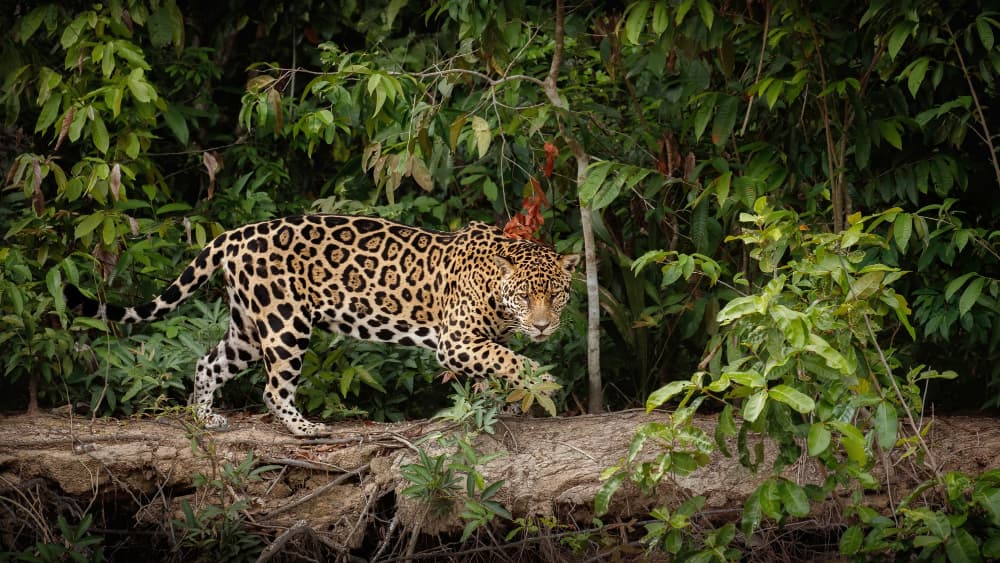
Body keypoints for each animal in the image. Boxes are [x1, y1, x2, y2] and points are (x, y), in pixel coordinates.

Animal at [66, 214, 580, 436]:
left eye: (555, 295)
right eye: (526, 296)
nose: (541, 327)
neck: (497, 291)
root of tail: (234, 235)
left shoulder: (476, 342)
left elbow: (492, 368)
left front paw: (504, 403)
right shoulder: (456, 340)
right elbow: (506, 359)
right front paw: (543, 382)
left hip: (247, 328)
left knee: (207, 362)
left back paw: (205, 416)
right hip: (285, 323)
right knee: (272, 389)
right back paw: (305, 429)